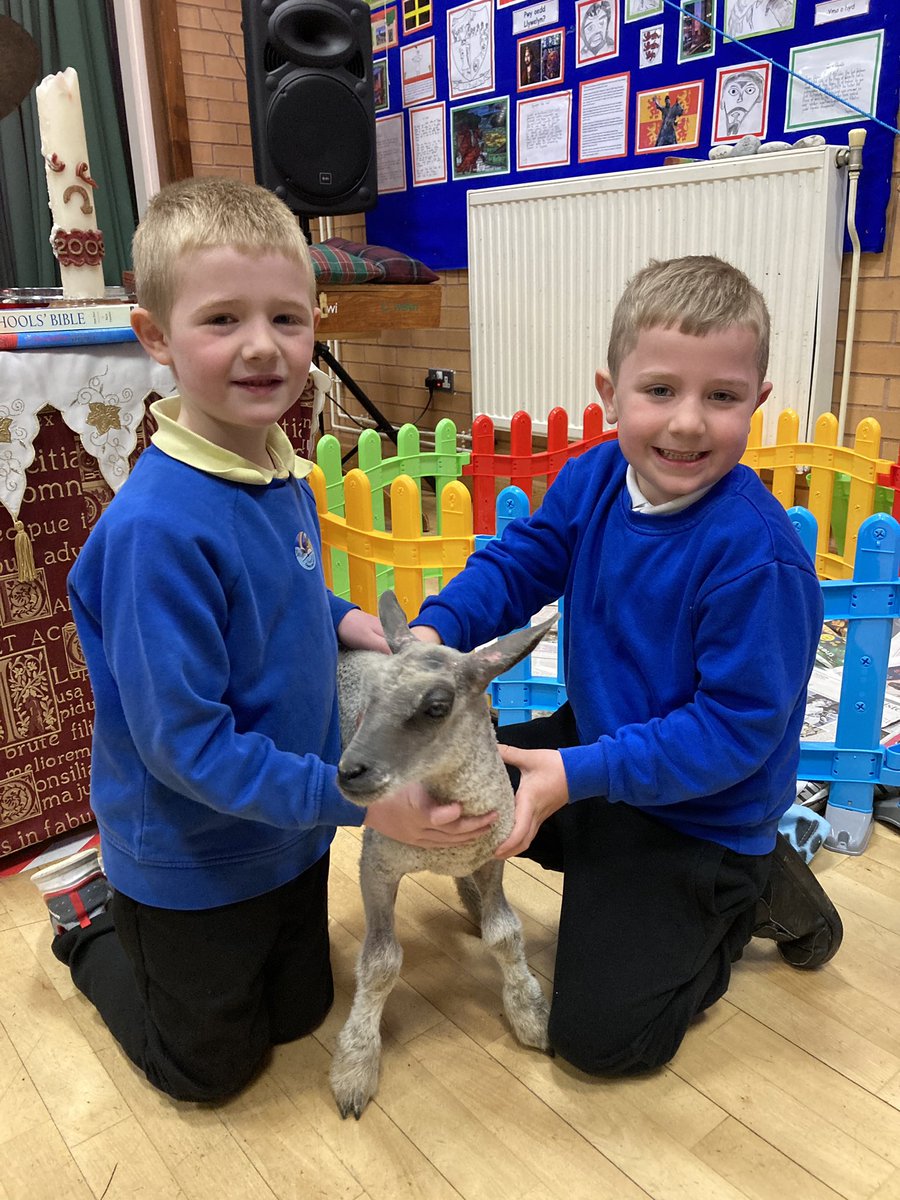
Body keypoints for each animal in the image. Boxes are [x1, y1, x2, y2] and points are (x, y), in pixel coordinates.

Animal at [331, 585, 556, 1118]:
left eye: (436, 707)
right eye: (370, 700)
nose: (348, 773)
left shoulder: (494, 855)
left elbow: (505, 934)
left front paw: (530, 1014)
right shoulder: (377, 865)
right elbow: (380, 963)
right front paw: (355, 1066)